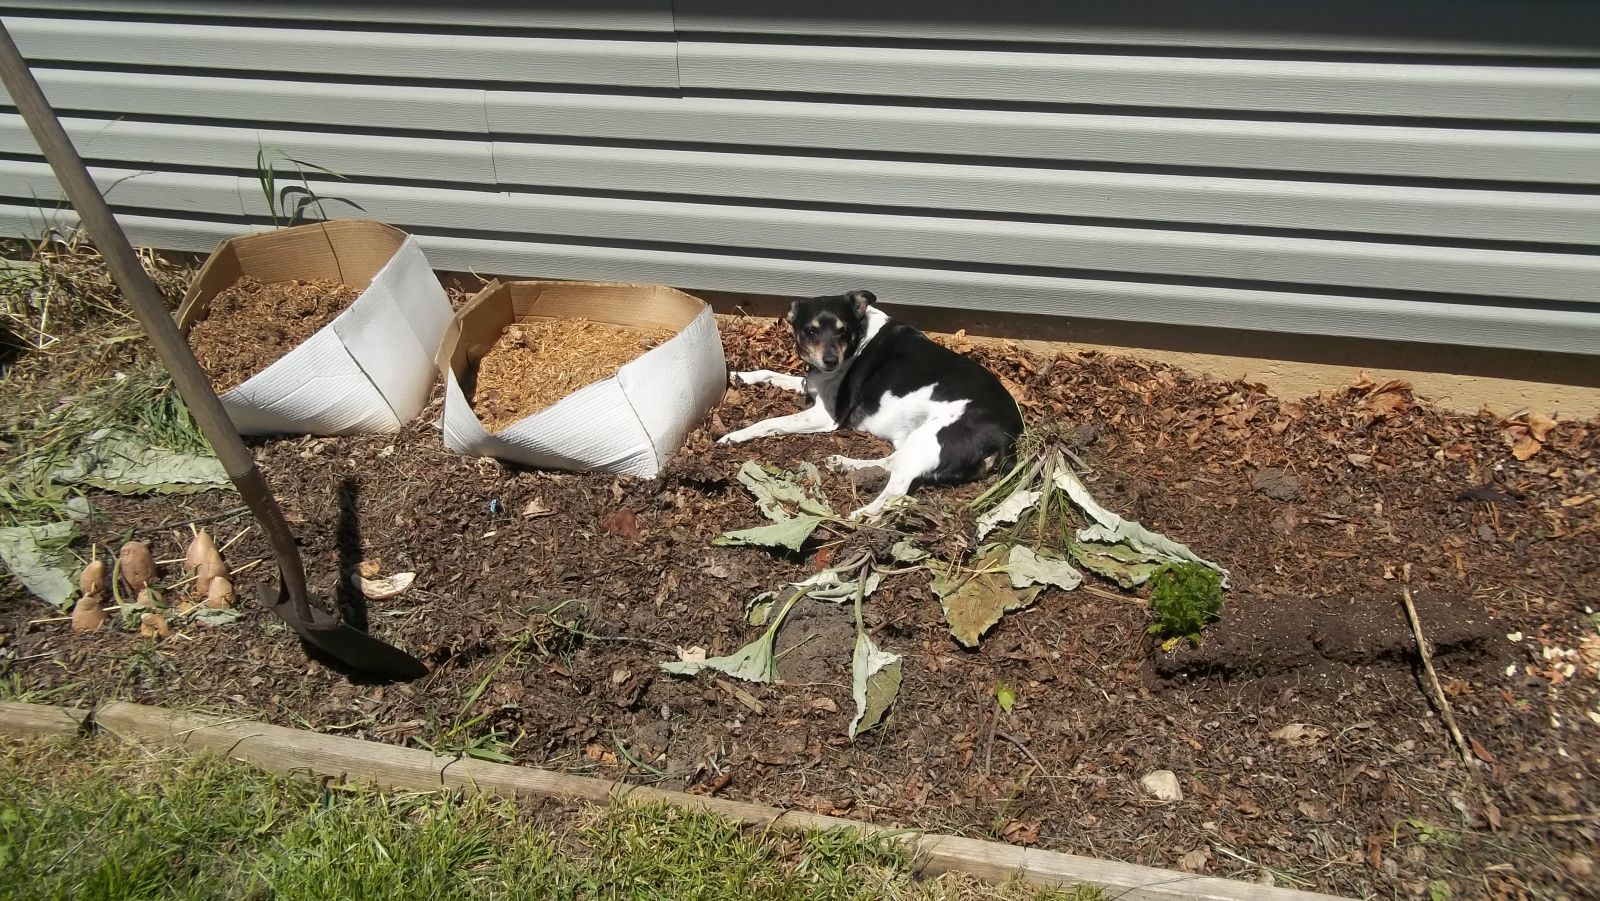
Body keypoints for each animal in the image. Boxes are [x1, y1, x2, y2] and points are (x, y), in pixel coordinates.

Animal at [716, 288, 1017, 515]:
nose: (830, 361)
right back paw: (843, 464)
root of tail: (1009, 435)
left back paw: (859, 516)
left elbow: (769, 421)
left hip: (931, 439)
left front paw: (734, 435)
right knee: (892, 462)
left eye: (842, 331)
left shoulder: (825, 416)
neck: (860, 336)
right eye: (810, 331)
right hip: (918, 443)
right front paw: (739, 376)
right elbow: (771, 374)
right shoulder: (811, 384)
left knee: (895, 492)